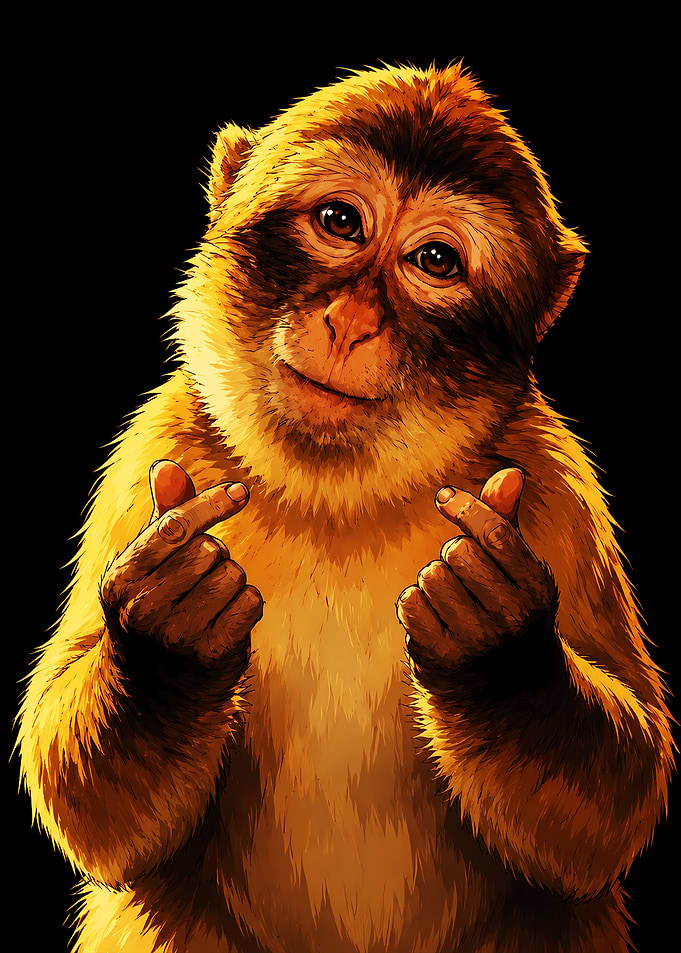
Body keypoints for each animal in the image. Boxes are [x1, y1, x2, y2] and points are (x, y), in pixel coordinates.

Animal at [16, 61, 674, 953]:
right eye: (338, 222)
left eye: (435, 260)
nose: (352, 321)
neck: (339, 499)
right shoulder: (150, 452)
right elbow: (91, 808)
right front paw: (166, 632)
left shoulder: (557, 488)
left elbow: (614, 809)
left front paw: (495, 644)